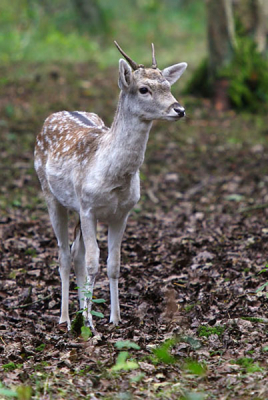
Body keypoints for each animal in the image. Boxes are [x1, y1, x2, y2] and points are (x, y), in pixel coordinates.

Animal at [34, 42, 187, 332]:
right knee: (64, 255)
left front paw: (114, 318)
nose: (179, 109)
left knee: (76, 253)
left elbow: (113, 264)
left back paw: (79, 311)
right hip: (50, 194)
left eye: (168, 85)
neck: (113, 176)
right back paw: (66, 318)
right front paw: (90, 324)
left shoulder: (122, 213)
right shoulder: (88, 207)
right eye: (143, 89)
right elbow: (93, 262)